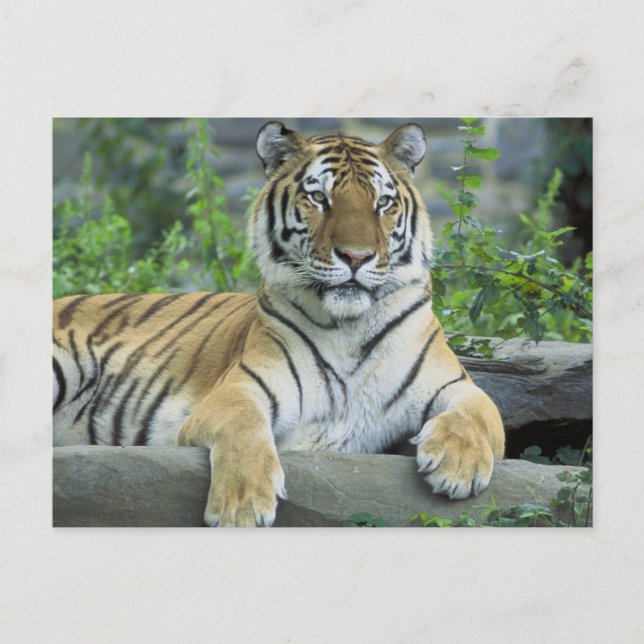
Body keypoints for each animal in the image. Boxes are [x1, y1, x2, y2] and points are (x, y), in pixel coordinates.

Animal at [53, 121, 505, 527]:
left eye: (382, 203)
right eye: (319, 197)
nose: (356, 257)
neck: (349, 327)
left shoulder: (454, 384)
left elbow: (480, 412)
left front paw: (457, 467)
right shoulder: (239, 388)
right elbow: (244, 426)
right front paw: (241, 507)